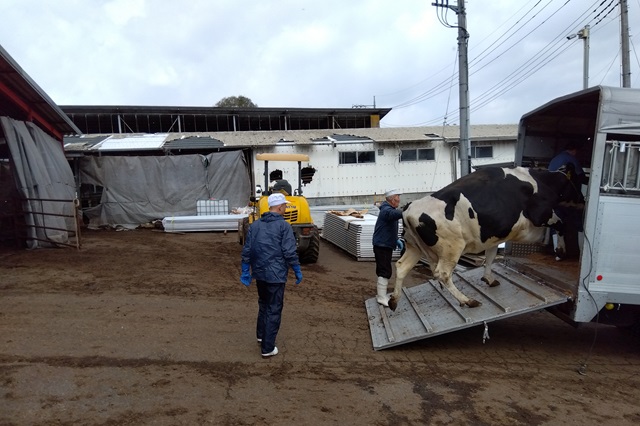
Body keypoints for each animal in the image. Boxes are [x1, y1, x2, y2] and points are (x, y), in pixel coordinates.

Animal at [384, 166, 584, 310]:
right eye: (579, 181)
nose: (583, 200)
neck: (541, 182)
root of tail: (410, 208)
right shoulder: (542, 215)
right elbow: (562, 224)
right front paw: (561, 251)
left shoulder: (495, 234)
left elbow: (491, 256)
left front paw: (488, 279)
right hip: (451, 249)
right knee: (443, 274)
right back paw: (467, 300)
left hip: (414, 247)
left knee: (401, 267)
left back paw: (394, 300)